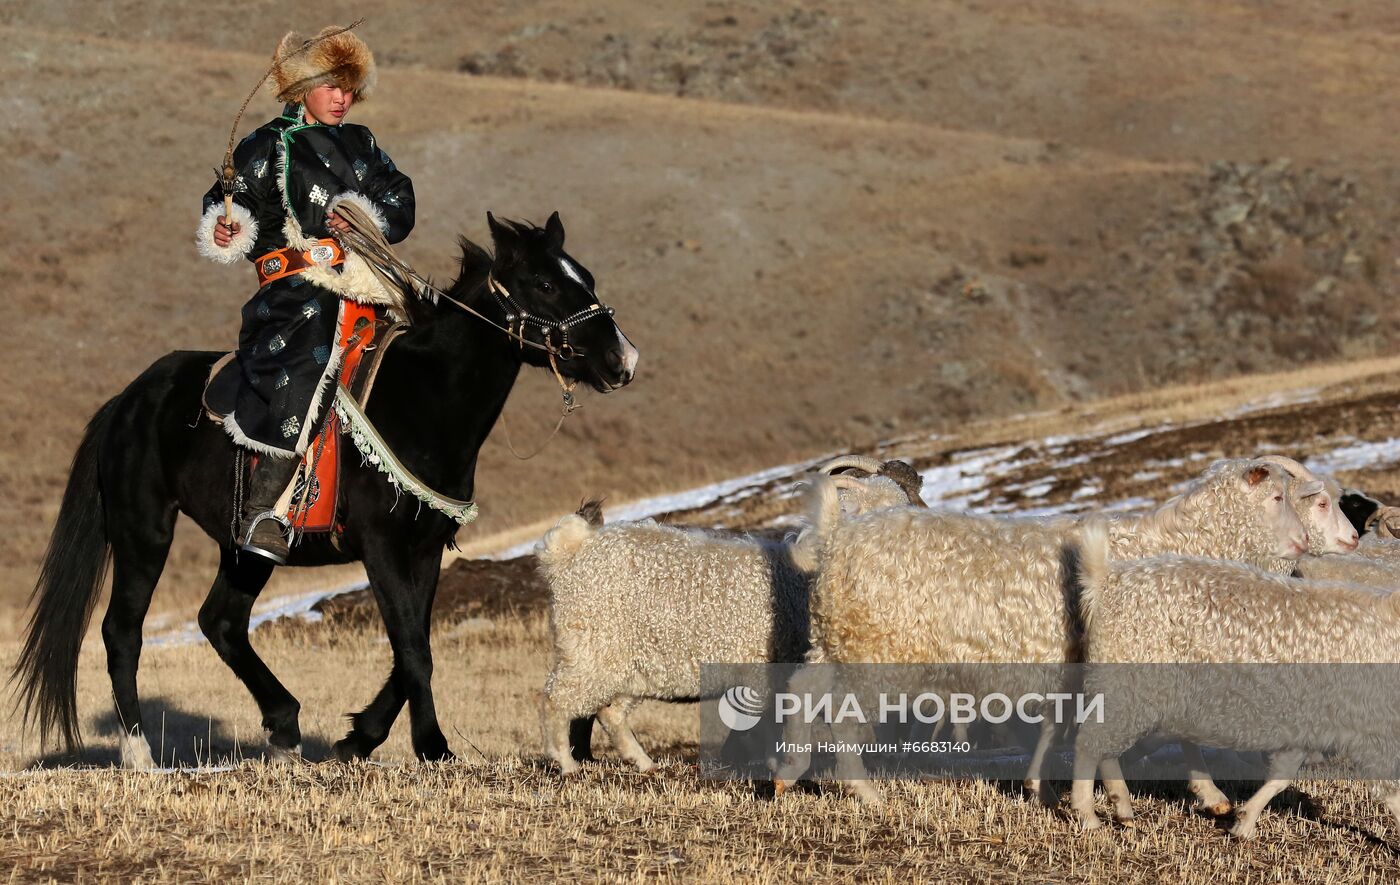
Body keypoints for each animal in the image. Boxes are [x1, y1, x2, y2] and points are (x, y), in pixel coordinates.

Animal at [9, 211, 635, 761]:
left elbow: (414, 644)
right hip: (144, 532)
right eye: (545, 283)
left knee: (221, 621)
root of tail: (127, 400)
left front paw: (359, 738)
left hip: (246, 548)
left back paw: (284, 726)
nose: (621, 359)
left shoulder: (425, 547)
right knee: (123, 632)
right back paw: (140, 753)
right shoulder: (381, 546)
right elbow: (413, 647)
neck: (423, 401)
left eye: (585, 276)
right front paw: (431, 746)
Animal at [778, 459, 1310, 806]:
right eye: (1275, 497)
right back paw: (864, 791)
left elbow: (1062, 726)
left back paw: (789, 772)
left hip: (836, 639)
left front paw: (1043, 785)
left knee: (803, 688)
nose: (1305, 542)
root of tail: (836, 538)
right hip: (875, 653)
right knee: (841, 714)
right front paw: (1209, 794)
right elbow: (1182, 735)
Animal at [1069, 520, 1400, 840]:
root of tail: (1106, 580)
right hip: (1128, 681)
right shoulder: (1369, 727)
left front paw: (1244, 820)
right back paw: (1088, 815)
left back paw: (1124, 806)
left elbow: (1281, 775)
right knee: (1090, 742)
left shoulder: (1311, 720)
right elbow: (1391, 789)